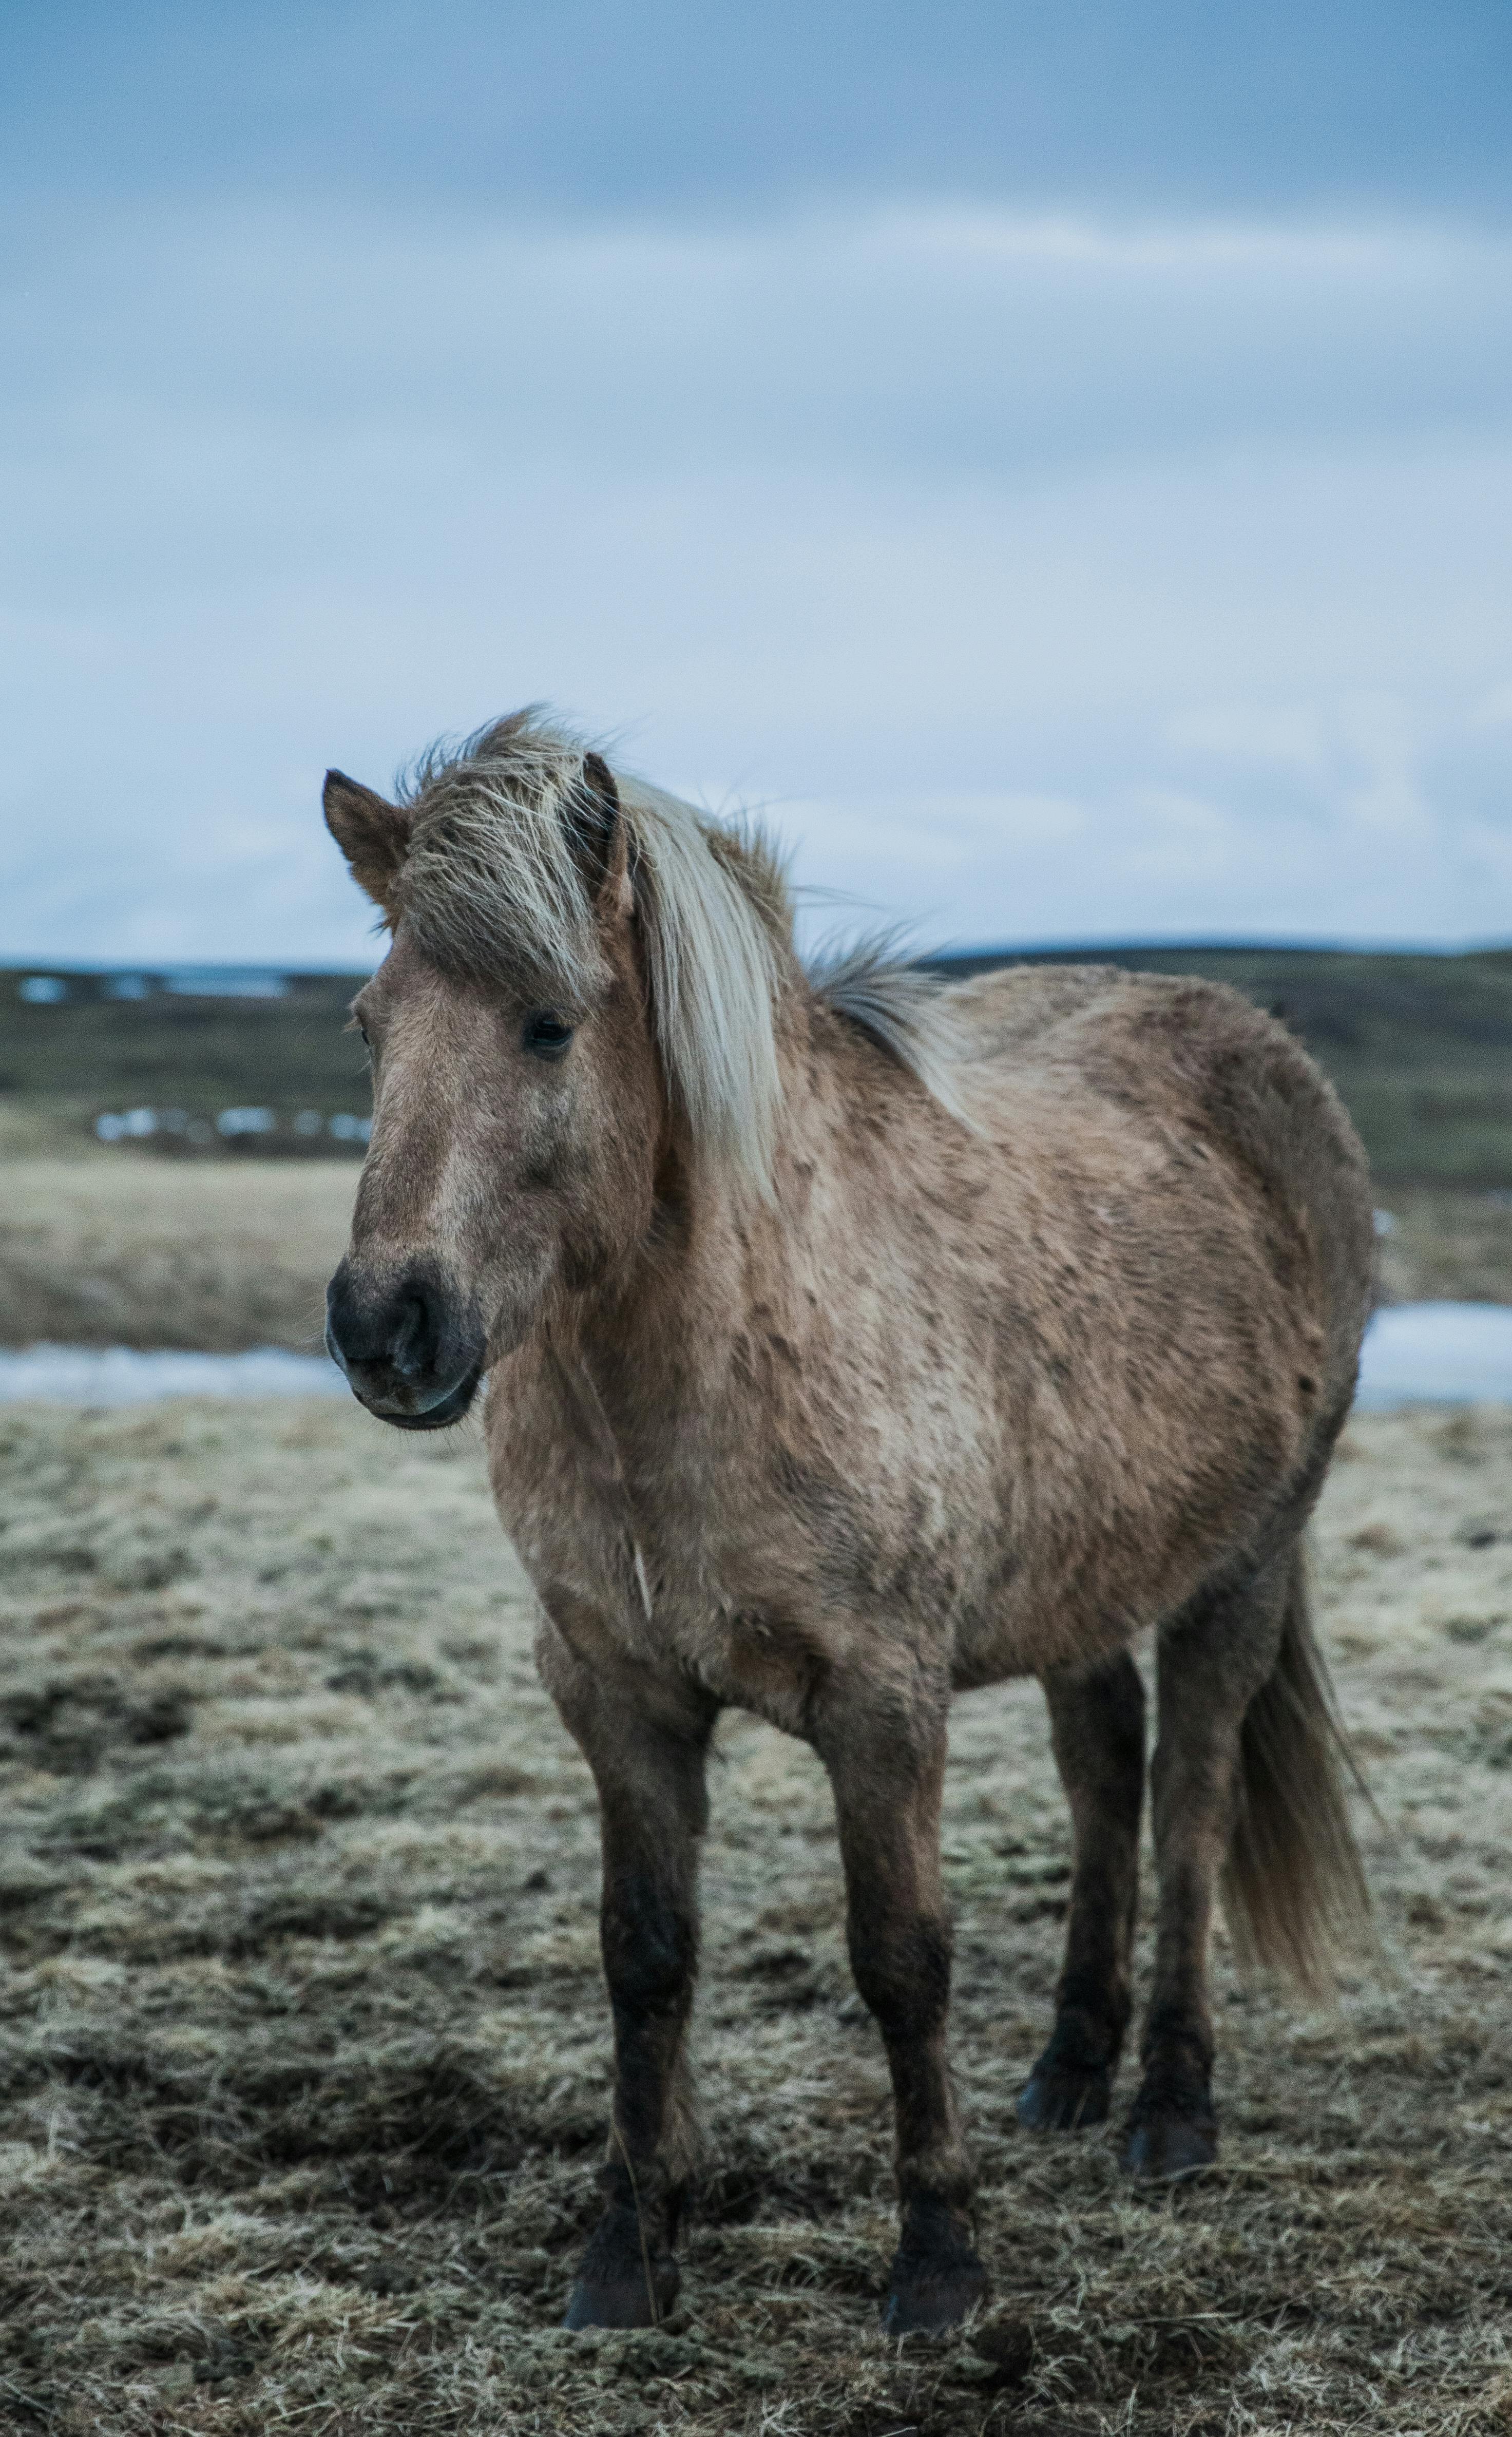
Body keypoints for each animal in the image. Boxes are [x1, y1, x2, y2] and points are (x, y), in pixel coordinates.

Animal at [321, 709, 1375, 2336]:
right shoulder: (614, 1693)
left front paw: (937, 2260)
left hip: (1238, 1573)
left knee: (1189, 1806)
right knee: (1104, 1779)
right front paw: (630, 2248)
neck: (712, 1355)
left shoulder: (883, 1700)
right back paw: (1070, 2070)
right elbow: (643, 1957)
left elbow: (900, 1960)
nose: (388, 1327)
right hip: (1082, 1584)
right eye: (370, 1026)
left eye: (548, 1026)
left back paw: (1169, 2112)